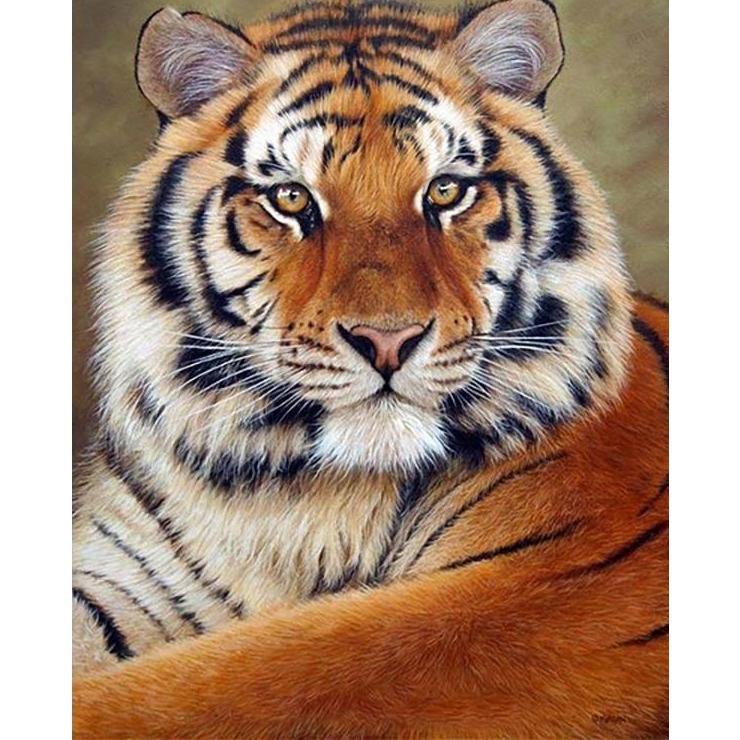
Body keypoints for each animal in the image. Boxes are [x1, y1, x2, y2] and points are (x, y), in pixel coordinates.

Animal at [72, 0, 668, 737]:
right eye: (291, 199)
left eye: (445, 191)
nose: (387, 340)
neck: (293, 497)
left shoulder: (540, 590)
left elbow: (227, 685)